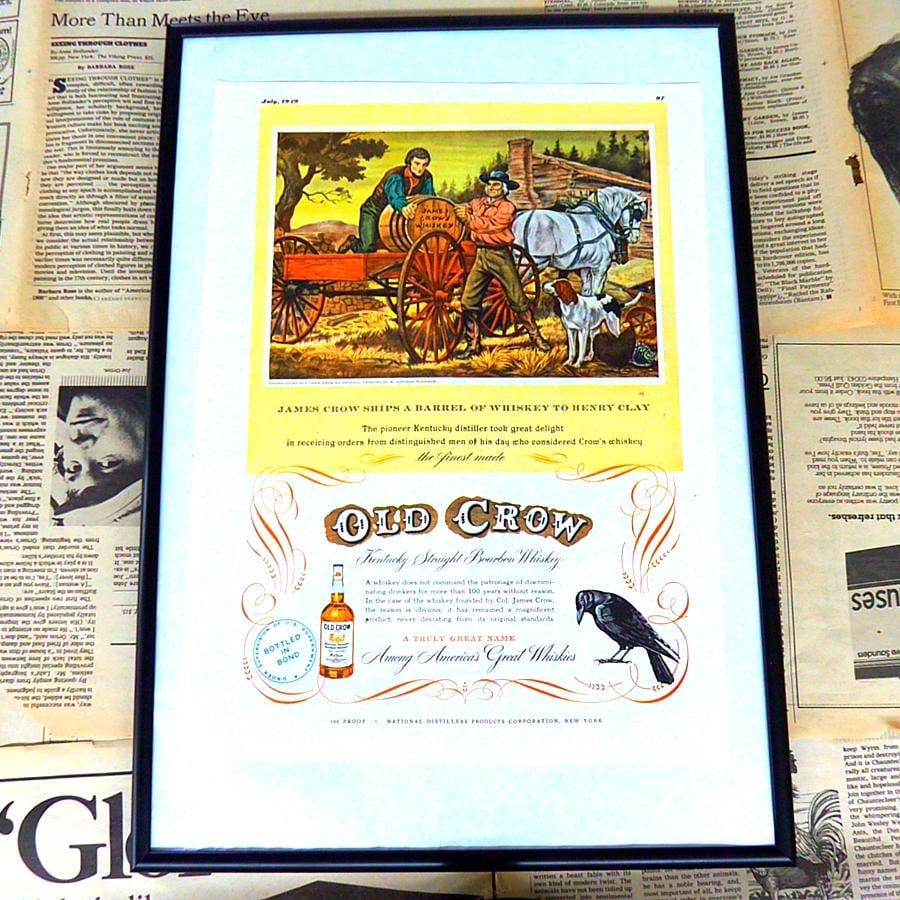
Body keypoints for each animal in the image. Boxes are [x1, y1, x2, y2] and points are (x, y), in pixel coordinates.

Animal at [512, 186, 648, 296]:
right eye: (637, 213)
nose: (635, 237)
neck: (598, 219)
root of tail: (518, 218)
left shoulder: (586, 266)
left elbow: (587, 292)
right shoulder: (601, 267)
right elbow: (596, 292)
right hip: (531, 263)